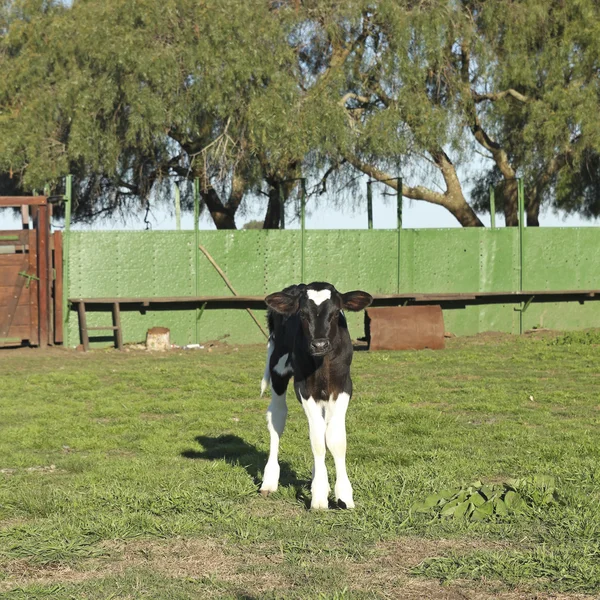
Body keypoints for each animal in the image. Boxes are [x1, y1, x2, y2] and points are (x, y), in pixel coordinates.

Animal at [260, 284, 372, 508]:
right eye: (303, 314)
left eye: (336, 312)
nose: (319, 344)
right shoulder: (304, 388)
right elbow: (318, 441)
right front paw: (319, 496)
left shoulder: (343, 387)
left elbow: (335, 439)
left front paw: (343, 494)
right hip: (277, 369)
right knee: (277, 417)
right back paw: (269, 480)